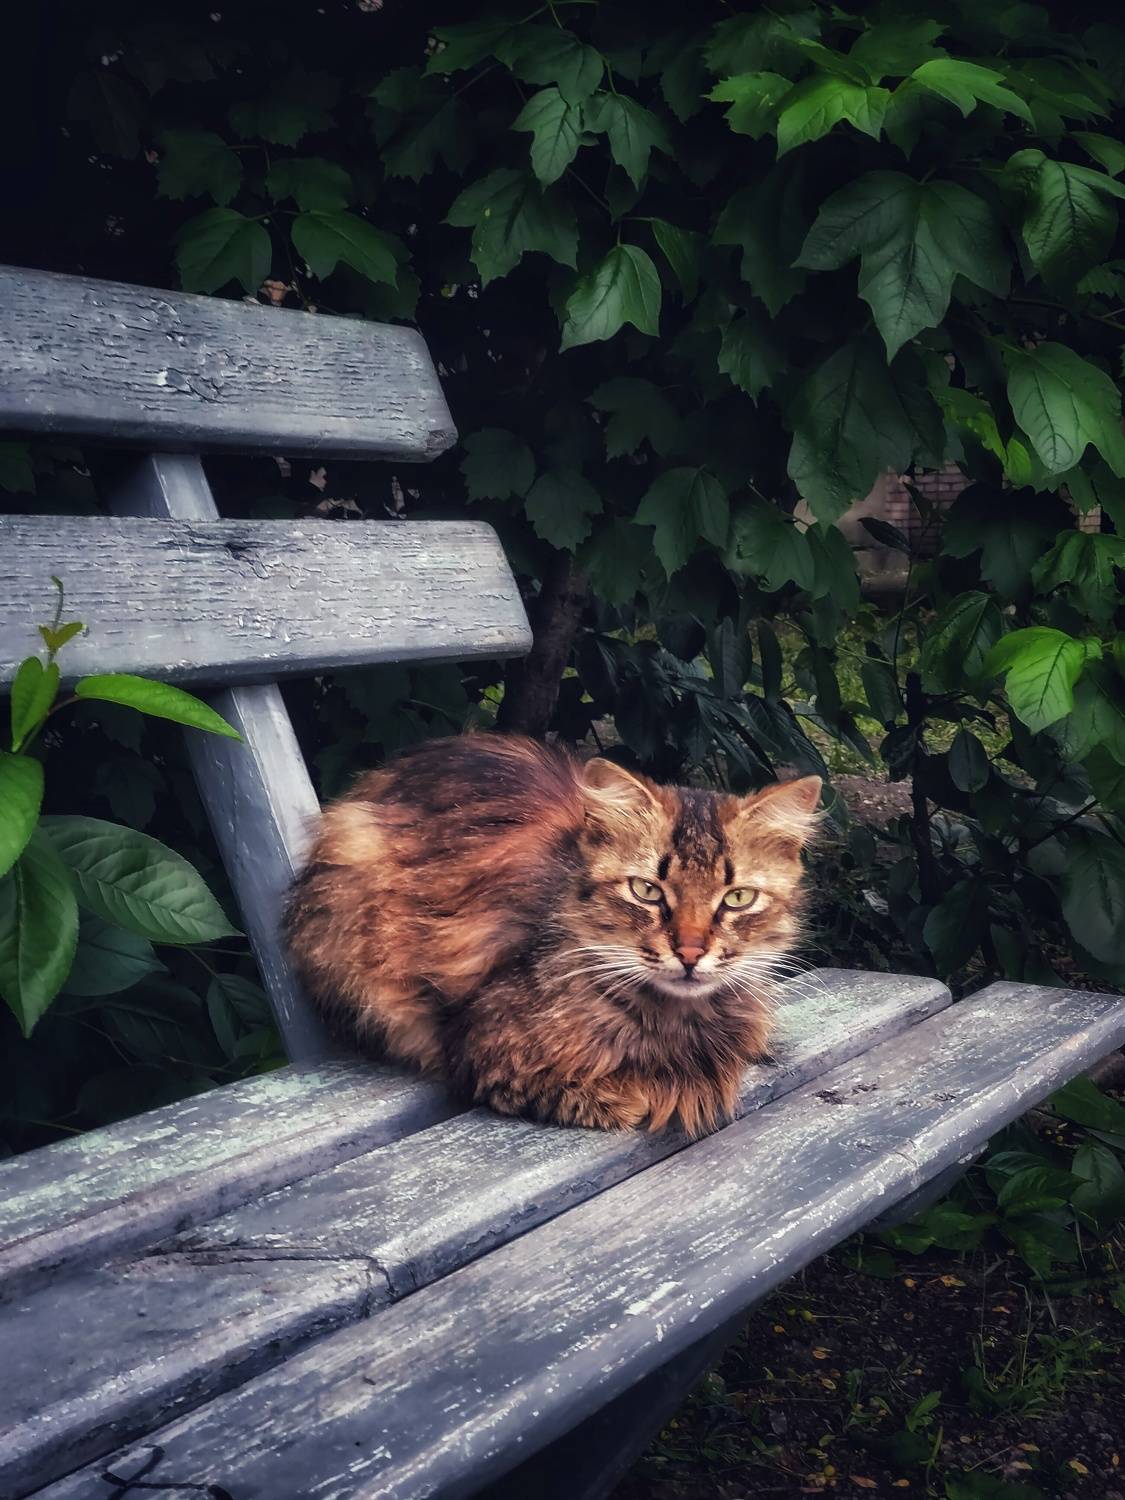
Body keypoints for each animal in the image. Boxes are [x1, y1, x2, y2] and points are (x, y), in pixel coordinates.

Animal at [284, 733, 821, 1136]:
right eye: (647, 890)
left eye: (737, 898)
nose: (690, 952)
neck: (676, 1022)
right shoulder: (487, 1056)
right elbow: (617, 1097)